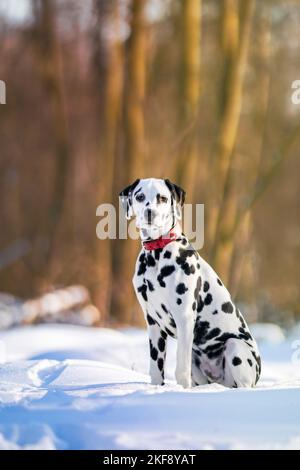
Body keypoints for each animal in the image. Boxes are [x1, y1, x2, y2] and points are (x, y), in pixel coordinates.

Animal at [119, 178, 260, 388]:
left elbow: (181, 371)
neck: (156, 256)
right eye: (140, 196)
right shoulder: (153, 323)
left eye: (162, 198)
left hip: (235, 347)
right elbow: (156, 369)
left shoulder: (184, 318)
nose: (149, 213)